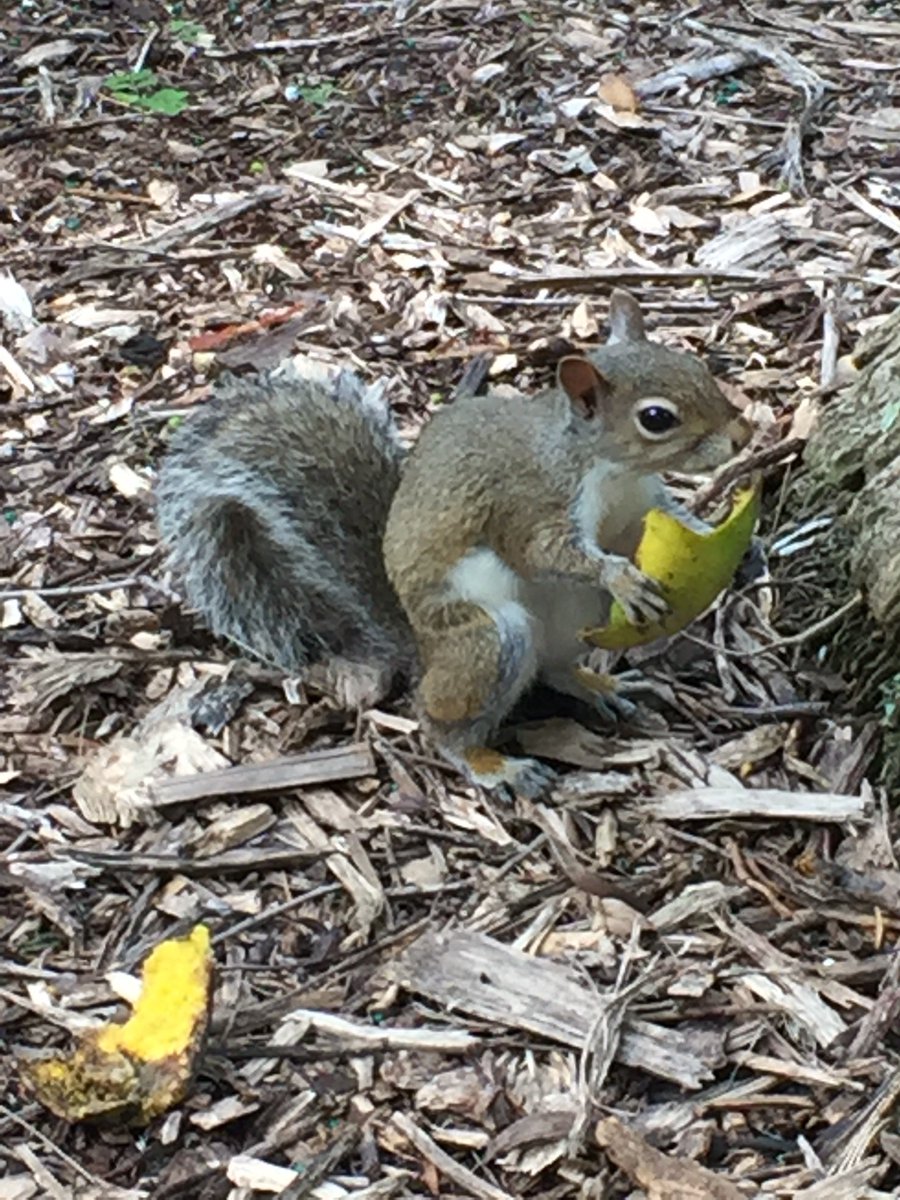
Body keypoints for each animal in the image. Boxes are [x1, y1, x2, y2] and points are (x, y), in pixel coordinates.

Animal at [156, 291, 751, 795]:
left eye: (699, 369)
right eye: (656, 418)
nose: (742, 438)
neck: (610, 470)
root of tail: (421, 650)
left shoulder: (642, 507)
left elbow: (670, 522)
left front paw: (732, 545)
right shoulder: (529, 502)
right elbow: (544, 552)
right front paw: (620, 576)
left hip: (574, 623)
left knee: (554, 668)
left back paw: (598, 685)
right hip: (487, 639)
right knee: (437, 721)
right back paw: (492, 764)